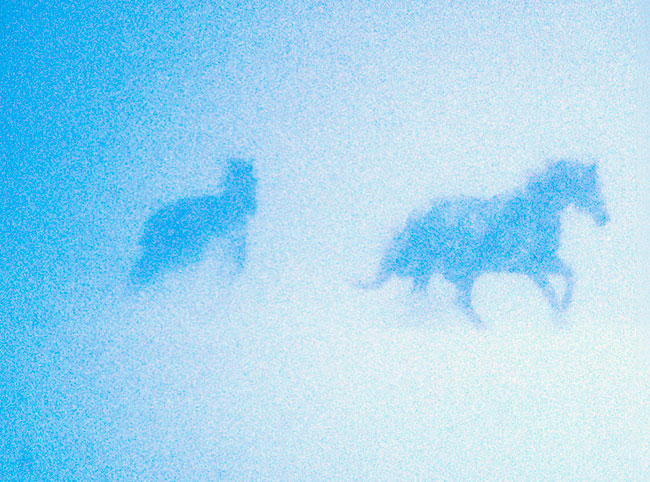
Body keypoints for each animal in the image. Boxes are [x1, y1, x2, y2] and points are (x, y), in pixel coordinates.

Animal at [360, 161, 608, 324]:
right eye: (586, 187)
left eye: (597, 186)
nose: (604, 218)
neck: (536, 212)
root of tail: (415, 218)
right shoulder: (528, 265)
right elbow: (550, 290)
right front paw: (558, 316)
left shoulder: (545, 261)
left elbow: (569, 277)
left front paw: (561, 313)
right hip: (458, 272)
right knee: (457, 302)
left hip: (443, 273)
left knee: (438, 300)